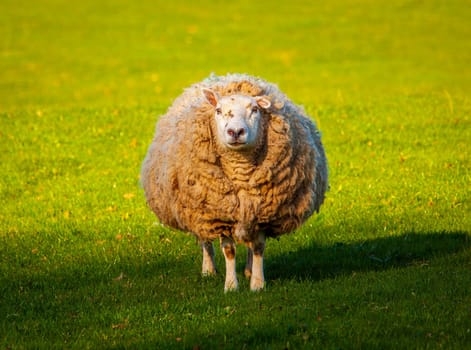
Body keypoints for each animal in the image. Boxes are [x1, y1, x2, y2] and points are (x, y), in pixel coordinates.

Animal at [142, 74, 330, 292]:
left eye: (255, 109)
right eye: (218, 110)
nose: (236, 131)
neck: (240, 171)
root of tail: (224, 76)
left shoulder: (262, 212)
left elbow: (258, 247)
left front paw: (257, 283)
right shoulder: (219, 215)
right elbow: (229, 250)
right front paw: (231, 286)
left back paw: (248, 270)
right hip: (198, 206)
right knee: (205, 239)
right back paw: (208, 270)